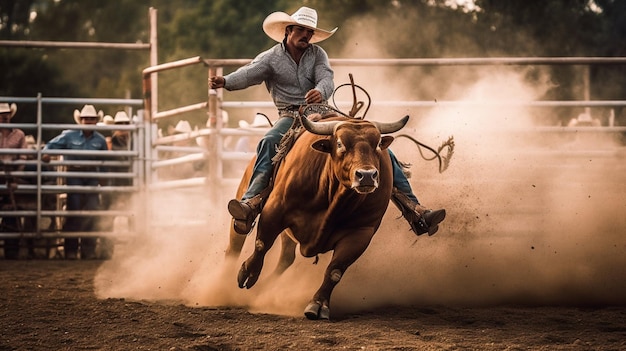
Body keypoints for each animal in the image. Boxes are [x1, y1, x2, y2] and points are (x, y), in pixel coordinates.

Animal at [227, 115, 408, 320]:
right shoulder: (275, 209)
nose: (367, 175)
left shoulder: (361, 233)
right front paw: (249, 273)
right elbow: (261, 244)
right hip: (242, 201)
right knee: (236, 242)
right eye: (340, 143)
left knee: (286, 258)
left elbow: (335, 271)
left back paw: (266, 288)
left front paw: (318, 304)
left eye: (377, 144)